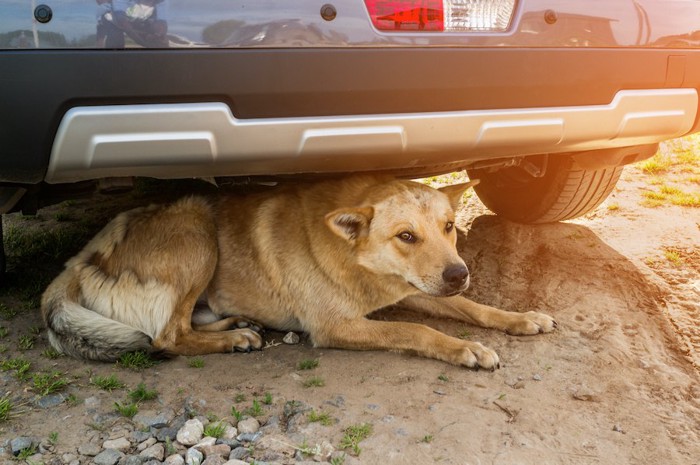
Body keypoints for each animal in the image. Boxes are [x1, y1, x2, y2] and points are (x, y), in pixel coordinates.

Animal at [42, 174, 556, 366]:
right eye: (406, 236)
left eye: (449, 227)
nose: (458, 273)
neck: (354, 259)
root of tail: (78, 259)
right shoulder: (335, 326)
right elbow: (417, 331)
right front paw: (465, 348)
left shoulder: (410, 287)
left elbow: (471, 307)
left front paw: (520, 318)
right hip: (196, 230)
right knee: (166, 336)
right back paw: (232, 338)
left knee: (185, 322)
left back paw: (235, 325)